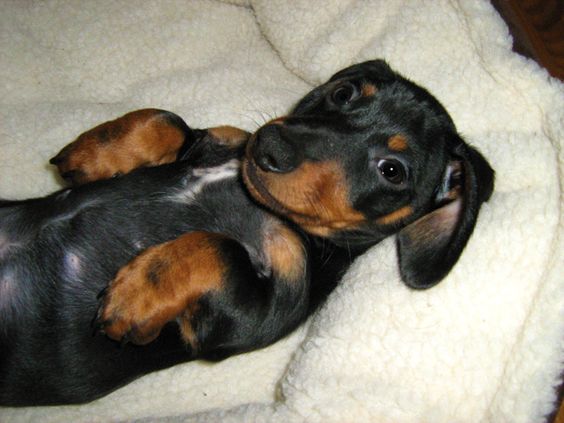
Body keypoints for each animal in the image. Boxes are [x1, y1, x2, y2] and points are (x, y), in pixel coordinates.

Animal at [0, 60, 494, 408]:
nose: (270, 146)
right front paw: (93, 155)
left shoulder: (259, 313)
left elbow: (221, 248)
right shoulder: (223, 140)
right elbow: (168, 120)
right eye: (343, 92)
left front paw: (139, 291)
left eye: (392, 170)